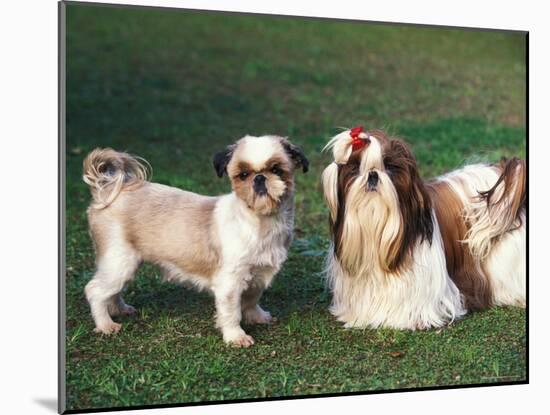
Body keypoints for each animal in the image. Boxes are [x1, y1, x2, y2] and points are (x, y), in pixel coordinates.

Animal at [84, 136, 312, 348]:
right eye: (243, 175)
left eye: (277, 170)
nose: (259, 178)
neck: (261, 222)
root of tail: (108, 189)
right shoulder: (230, 281)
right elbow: (232, 311)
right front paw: (235, 336)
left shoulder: (259, 274)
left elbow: (251, 299)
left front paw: (256, 316)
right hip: (120, 261)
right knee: (95, 291)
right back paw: (106, 324)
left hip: (124, 264)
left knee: (112, 291)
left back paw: (119, 310)